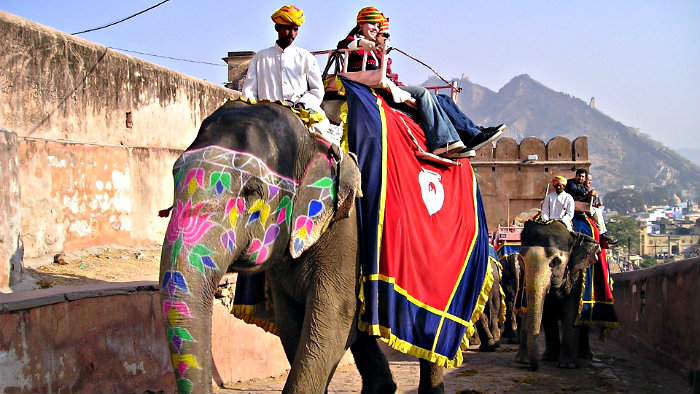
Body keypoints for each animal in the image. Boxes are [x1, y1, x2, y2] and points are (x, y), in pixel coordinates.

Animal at [159, 101, 442, 394]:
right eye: (174, 176)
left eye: (251, 191)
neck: (312, 139)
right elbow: (292, 321)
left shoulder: (347, 231)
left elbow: (334, 317)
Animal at [508, 220, 600, 370]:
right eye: (521, 260)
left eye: (555, 261)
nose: (532, 367)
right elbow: (538, 310)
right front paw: (523, 360)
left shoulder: (576, 274)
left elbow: (571, 311)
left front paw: (567, 365)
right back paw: (549, 356)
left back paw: (584, 355)